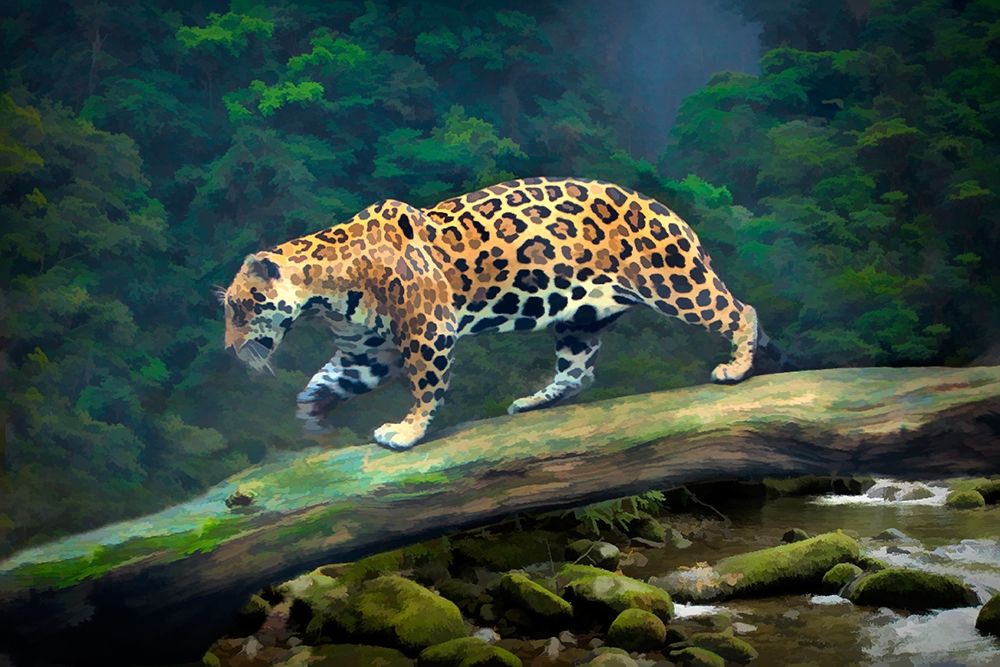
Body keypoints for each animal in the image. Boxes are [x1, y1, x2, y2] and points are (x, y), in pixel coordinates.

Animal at [220, 177, 792, 451]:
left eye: (241, 307)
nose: (228, 350)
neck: (328, 291)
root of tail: (667, 209)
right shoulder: (368, 352)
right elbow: (330, 378)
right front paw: (311, 414)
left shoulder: (428, 330)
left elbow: (425, 386)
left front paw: (408, 432)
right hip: (579, 318)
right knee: (578, 373)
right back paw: (535, 401)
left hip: (672, 282)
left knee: (739, 310)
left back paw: (736, 366)